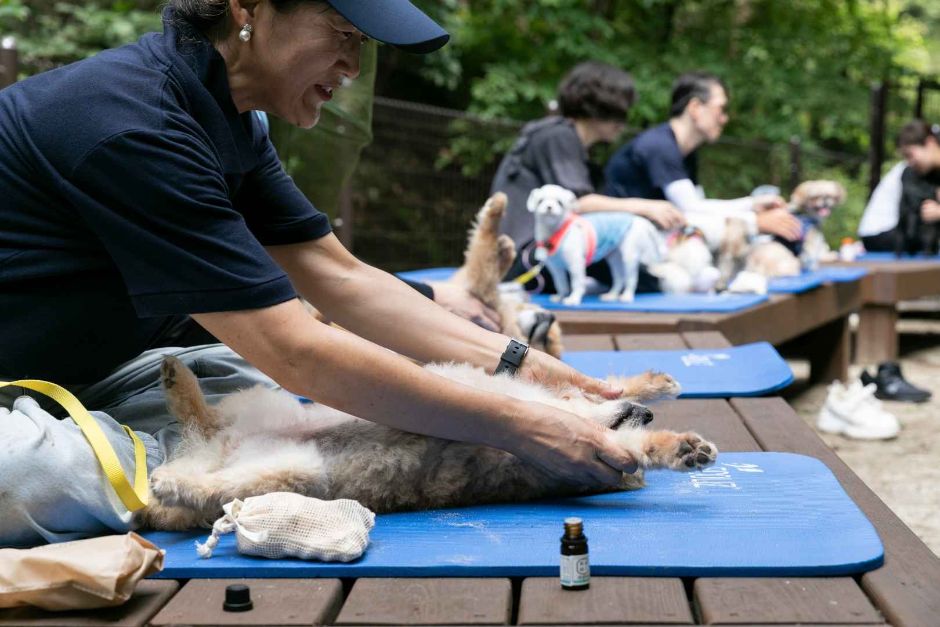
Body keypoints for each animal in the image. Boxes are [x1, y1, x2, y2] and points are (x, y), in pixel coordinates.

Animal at [136, 358, 716, 528]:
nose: (646, 413)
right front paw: (653, 385)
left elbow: (640, 452)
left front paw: (679, 448)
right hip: (263, 405)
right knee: (204, 420)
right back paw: (177, 379)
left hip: (290, 470)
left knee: (210, 482)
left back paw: (165, 481)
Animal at [524, 185, 664, 306]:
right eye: (540, 201)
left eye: (559, 203)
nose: (549, 207)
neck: (555, 232)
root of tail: (640, 220)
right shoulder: (555, 268)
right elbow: (561, 284)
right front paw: (560, 296)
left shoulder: (576, 263)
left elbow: (576, 283)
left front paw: (573, 298)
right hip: (614, 258)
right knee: (619, 278)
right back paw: (612, 295)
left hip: (629, 257)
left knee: (631, 279)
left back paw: (627, 296)